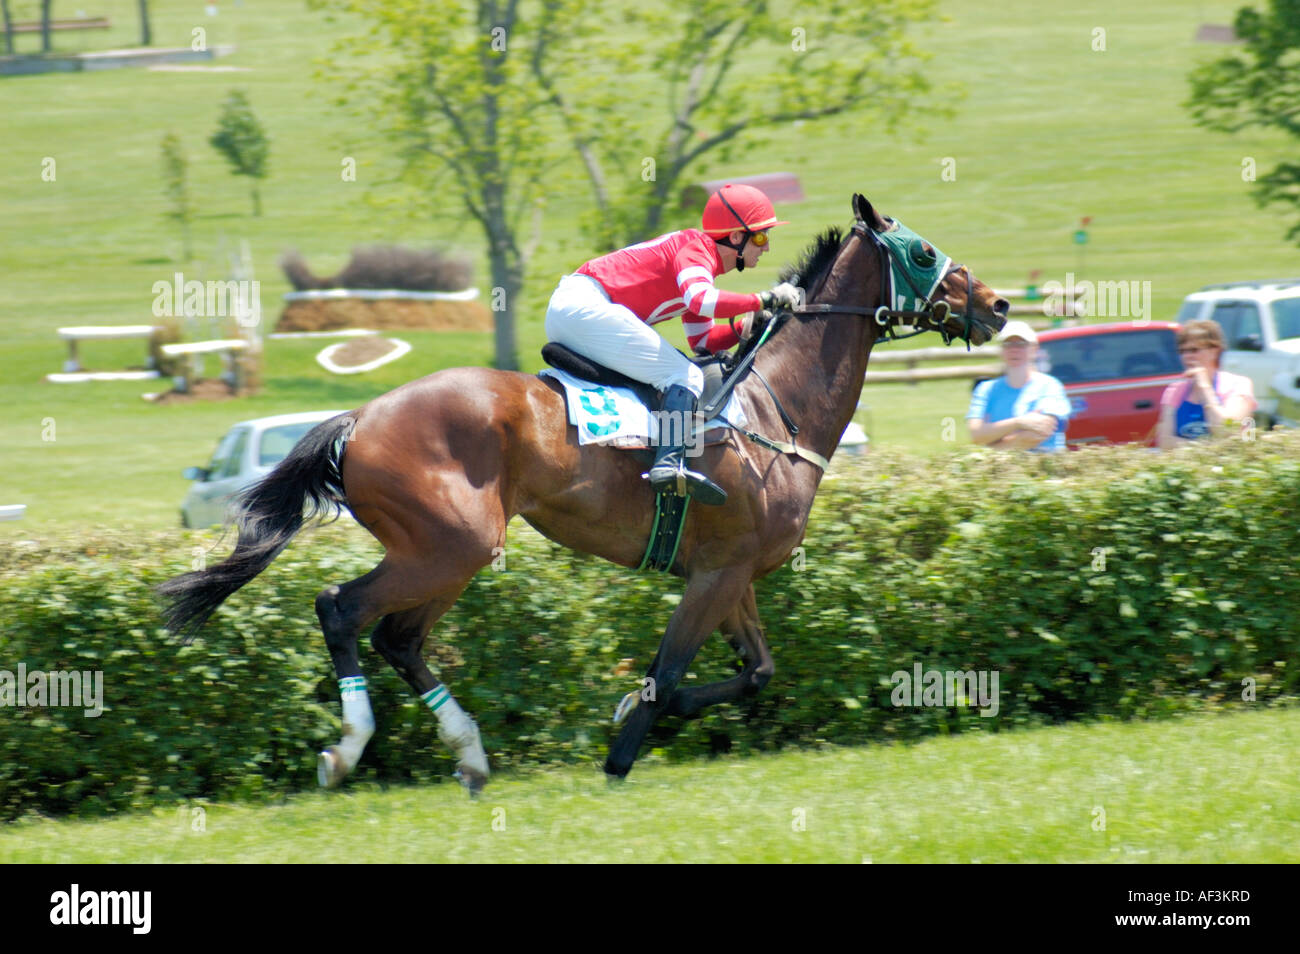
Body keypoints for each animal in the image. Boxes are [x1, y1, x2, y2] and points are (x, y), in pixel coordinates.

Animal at [157, 193, 1009, 792]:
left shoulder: (732, 572)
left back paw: (469, 752)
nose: (998, 305)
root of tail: (360, 417)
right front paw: (623, 743)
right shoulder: (717, 573)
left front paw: (628, 710)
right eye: (923, 251)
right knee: (341, 610)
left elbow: (756, 672)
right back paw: (348, 751)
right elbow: (670, 673)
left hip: (451, 552)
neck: (775, 408)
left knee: (398, 638)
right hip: (452, 544)